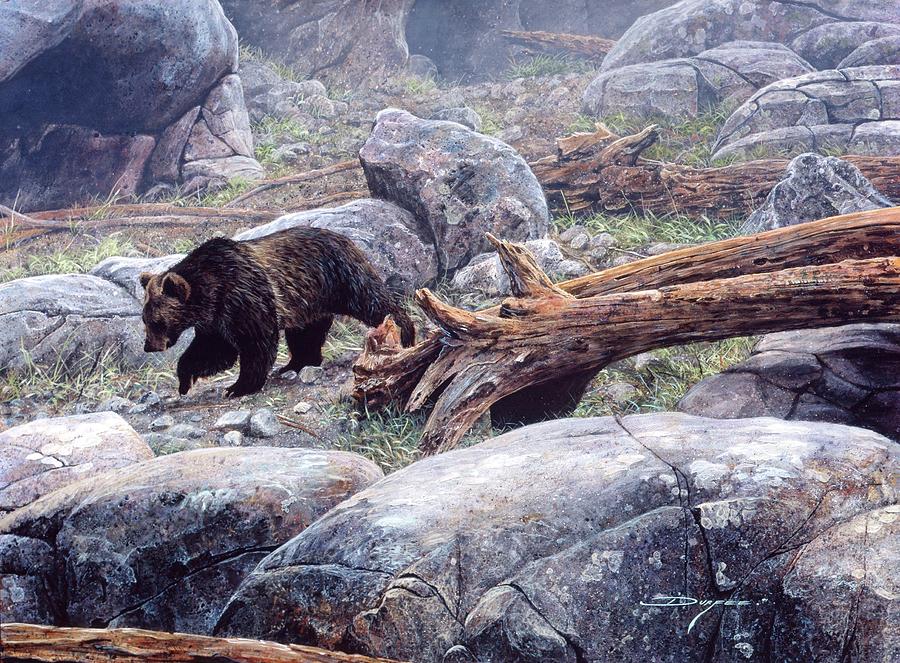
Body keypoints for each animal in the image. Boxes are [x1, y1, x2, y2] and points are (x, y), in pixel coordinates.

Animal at [139, 226, 415, 398]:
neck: (211, 291)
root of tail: (346, 239)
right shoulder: (215, 320)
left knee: (374, 302)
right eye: (145, 319)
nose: (149, 346)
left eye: (157, 321)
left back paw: (406, 334)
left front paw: (238, 386)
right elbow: (214, 351)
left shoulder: (243, 296)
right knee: (305, 335)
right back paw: (297, 363)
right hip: (308, 301)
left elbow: (256, 344)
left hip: (341, 279)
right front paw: (185, 381)